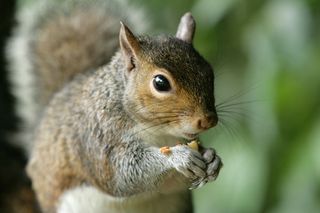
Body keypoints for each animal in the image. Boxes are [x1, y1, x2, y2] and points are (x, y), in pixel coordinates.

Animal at [6, 0, 222, 213]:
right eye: (160, 83)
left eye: (209, 71)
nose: (208, 120)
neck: (159, 131)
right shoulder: (98, 138)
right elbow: (122, 174)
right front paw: (179, 157)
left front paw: (212, 159)